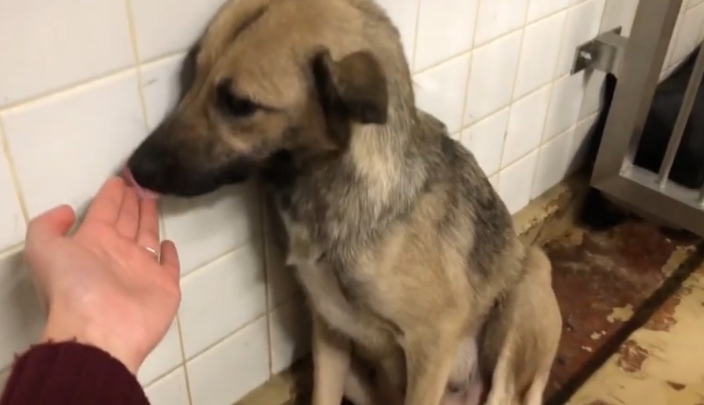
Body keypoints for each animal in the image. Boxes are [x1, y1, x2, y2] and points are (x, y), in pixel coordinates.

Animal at [122, 0, 562, 404]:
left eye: (239, 104)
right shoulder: (329, 331)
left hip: (531, 279)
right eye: (193, 72)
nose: (135, 169)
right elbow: (323, 394)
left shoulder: (434, 343)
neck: (323, 184)